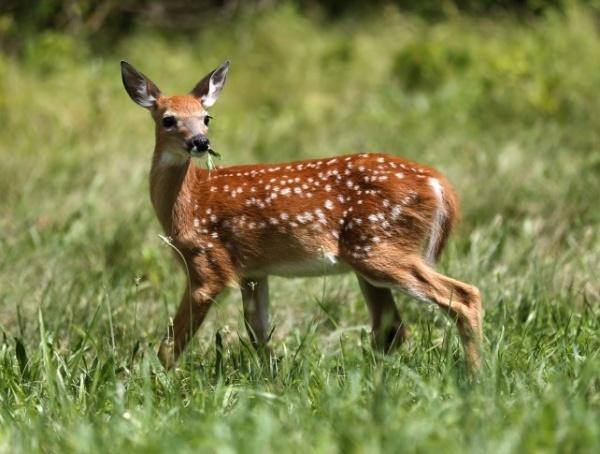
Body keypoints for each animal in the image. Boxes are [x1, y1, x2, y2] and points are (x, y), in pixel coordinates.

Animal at [120, 59, 482, 372]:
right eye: (168, 119)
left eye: (206, 117)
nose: (200, 142)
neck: (190, 201)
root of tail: (438, 182)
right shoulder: (253, 272)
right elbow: (259, 335)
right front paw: (271, 381)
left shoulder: (208, 265)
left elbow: (169, 346)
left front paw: (152, 384)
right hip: (370, 258)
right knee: (391, 328)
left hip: (379, 246)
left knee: (464, 297)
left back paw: (475, 376)